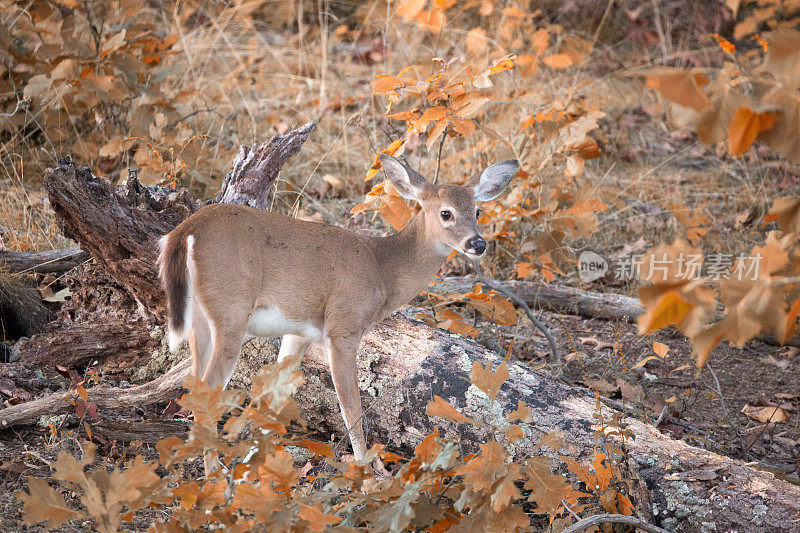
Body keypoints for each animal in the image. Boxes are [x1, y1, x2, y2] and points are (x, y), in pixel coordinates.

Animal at [159, 154, 516, 474]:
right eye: (446, 213)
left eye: (477, 210)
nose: (477, 244)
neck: (382, 269)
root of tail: (186, 230)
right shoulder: (344, 325)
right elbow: (352, 409)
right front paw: (368, 471)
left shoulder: (299, 331)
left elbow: (274, 397)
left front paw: (256, 466)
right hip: (231, 308)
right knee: (207, 393)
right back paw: (214, 476)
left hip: (202, 318)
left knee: (194, 385)